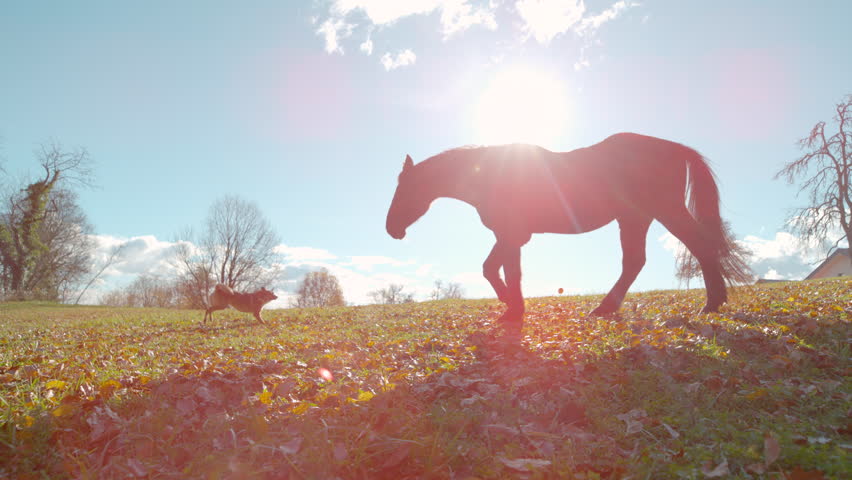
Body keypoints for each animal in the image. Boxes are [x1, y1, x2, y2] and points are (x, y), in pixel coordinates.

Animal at [385, 133, 750, 331]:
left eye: (404, 190)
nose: (391, 229)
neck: (489, 173)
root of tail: (676, 148)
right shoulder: (512, 237)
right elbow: (498, 268)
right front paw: (511, 306)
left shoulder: (512, 235)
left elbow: (501, 270)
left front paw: (513, 309)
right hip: (635, 218)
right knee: (637, 261)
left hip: (662, 212)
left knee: (697, 245)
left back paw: (710, 303)